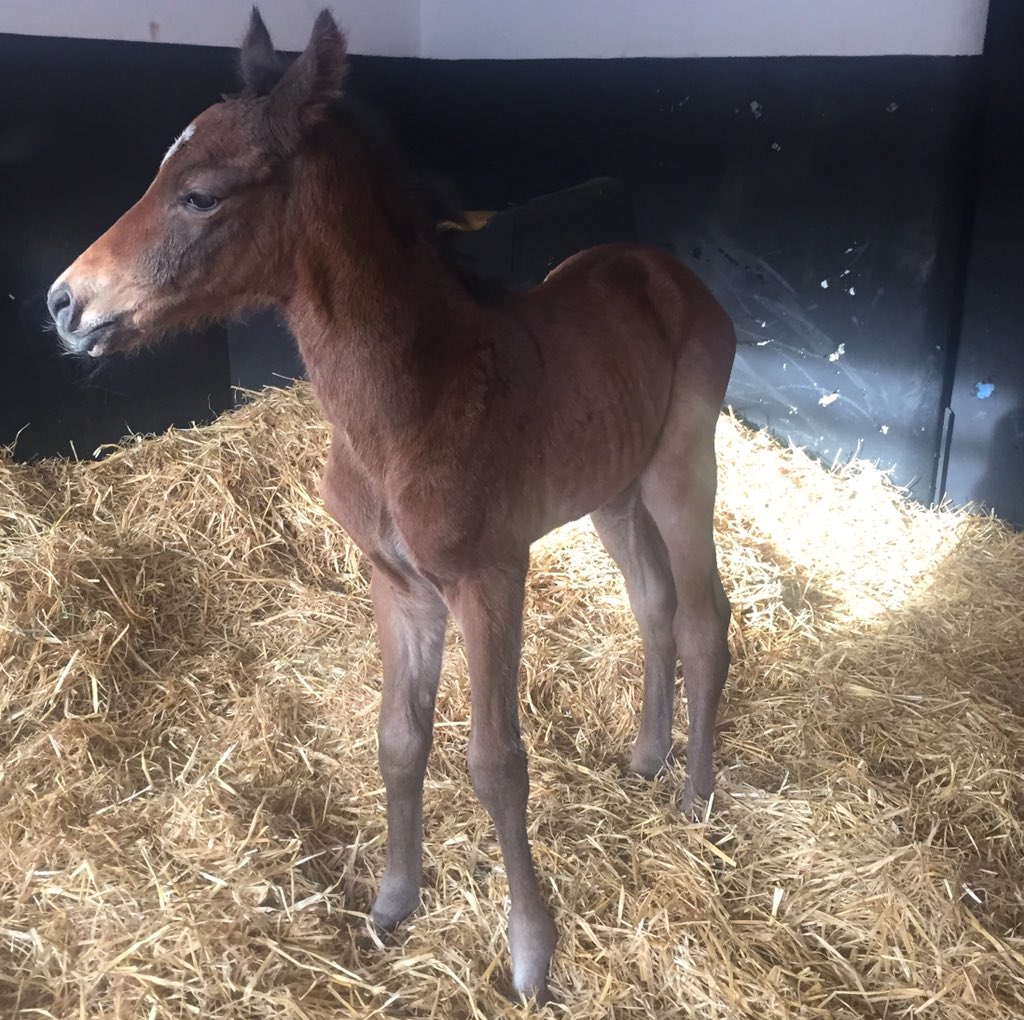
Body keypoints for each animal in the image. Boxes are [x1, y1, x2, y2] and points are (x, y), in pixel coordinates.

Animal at [46, 9, 736, 1003]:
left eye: (201, 196)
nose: (66, 303)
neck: (408, 404)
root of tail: (659, 267)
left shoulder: (490, 579)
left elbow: (496, 761)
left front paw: (530, 955)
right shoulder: (398, 585)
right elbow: (399, 739)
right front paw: (392, 904)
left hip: (683, 467)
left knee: (704, 617)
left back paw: (694, 797)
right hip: (613, 491)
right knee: (653, 604)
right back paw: (646, 760)